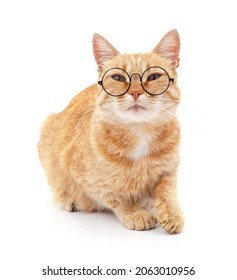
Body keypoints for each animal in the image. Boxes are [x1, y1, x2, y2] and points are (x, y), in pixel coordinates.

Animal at [38, 29, 184, 233]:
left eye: (154, 77)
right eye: (119, 78)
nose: (136, 92)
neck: (139, 135)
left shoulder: (169, 171)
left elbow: (167, 192)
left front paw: (172, 213)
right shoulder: (86, 179)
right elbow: (115, 196)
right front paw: (136, 213)